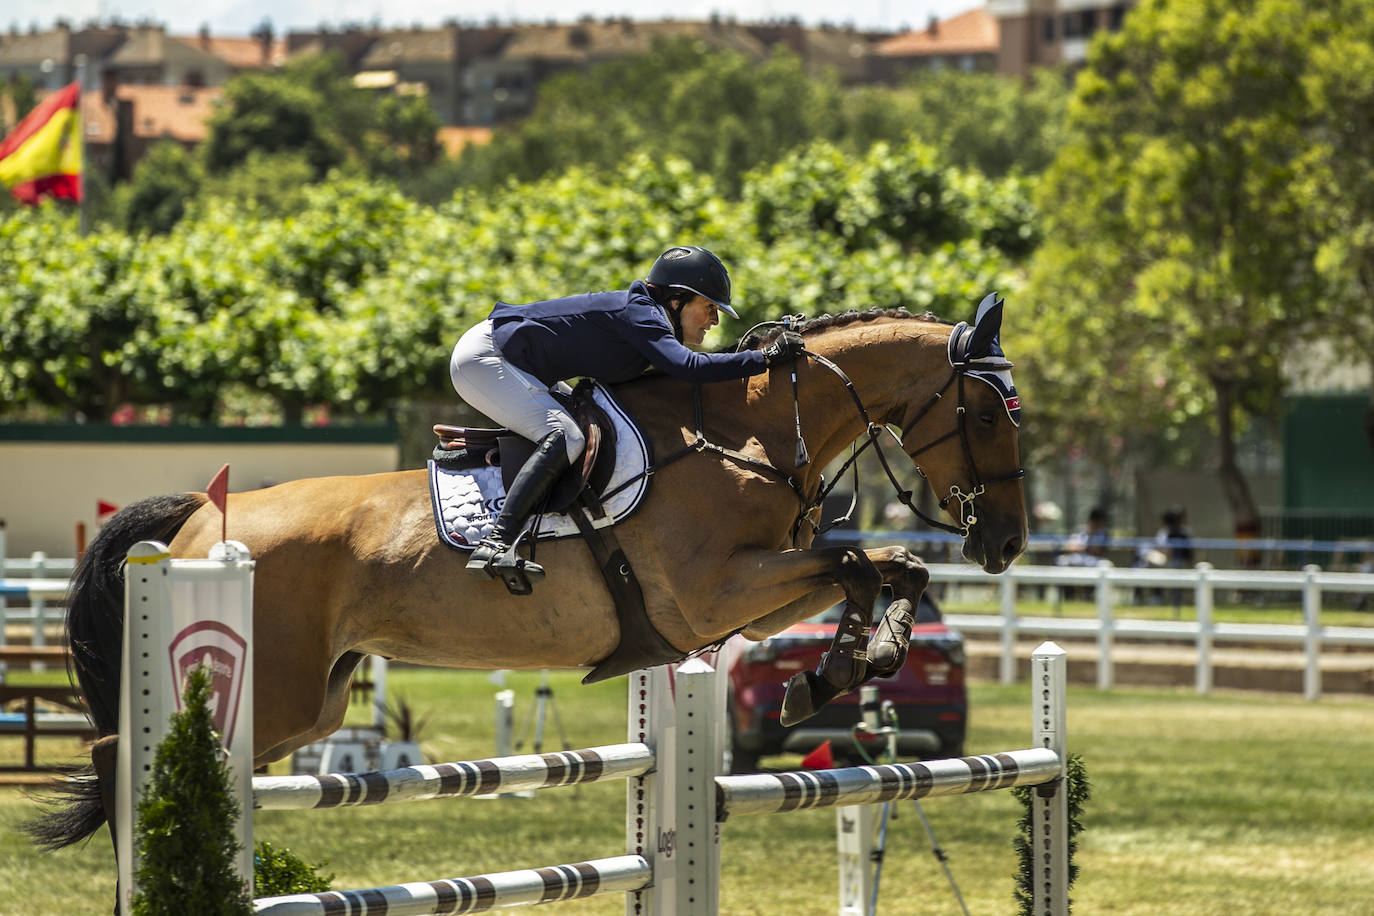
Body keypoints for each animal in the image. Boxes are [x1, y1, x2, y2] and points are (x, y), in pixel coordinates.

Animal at [26, 299, 1027, 851]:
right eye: (986, 411)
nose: (1008, 544)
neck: (745, 434)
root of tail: (199, 516)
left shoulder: (751, 598)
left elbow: (881, 567)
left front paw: (839, 671)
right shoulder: (714, 592)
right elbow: (864, 559)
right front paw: (842, 668)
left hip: (310, 705)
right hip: (267, 692)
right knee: (121, 751)